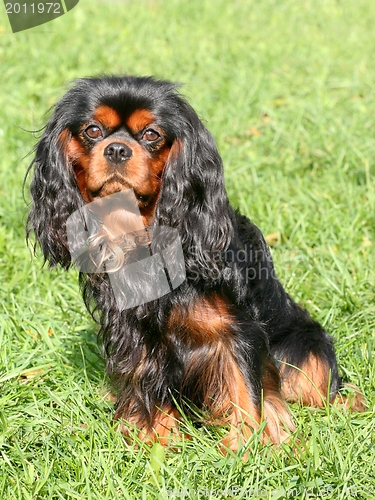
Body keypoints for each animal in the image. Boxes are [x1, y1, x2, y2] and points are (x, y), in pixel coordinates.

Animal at [25, 75, 366, 454]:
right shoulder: (140, 339)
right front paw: (157, 439)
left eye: (151, 134)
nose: (116, 149)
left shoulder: (236, 330)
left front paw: (248, 447)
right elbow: (151, 384)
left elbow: (245, 387)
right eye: (93, 130)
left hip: (307, 349)